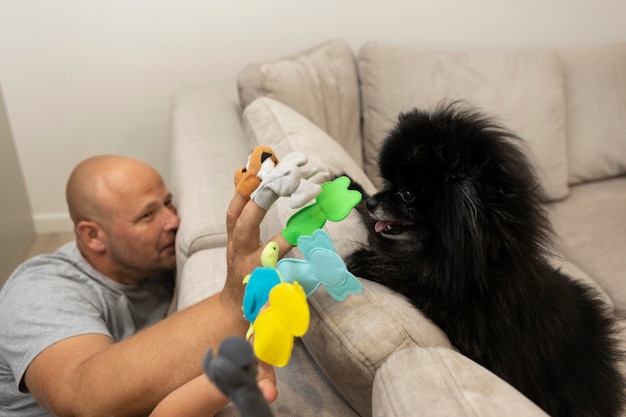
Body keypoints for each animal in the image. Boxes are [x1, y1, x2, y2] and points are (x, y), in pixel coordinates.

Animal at [346, 101, 624, 416]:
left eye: (406, 194)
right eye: (387, 183)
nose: (372, 202)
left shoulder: (455, 311)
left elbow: (411, 276)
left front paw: (368, 261)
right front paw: (353, 190)